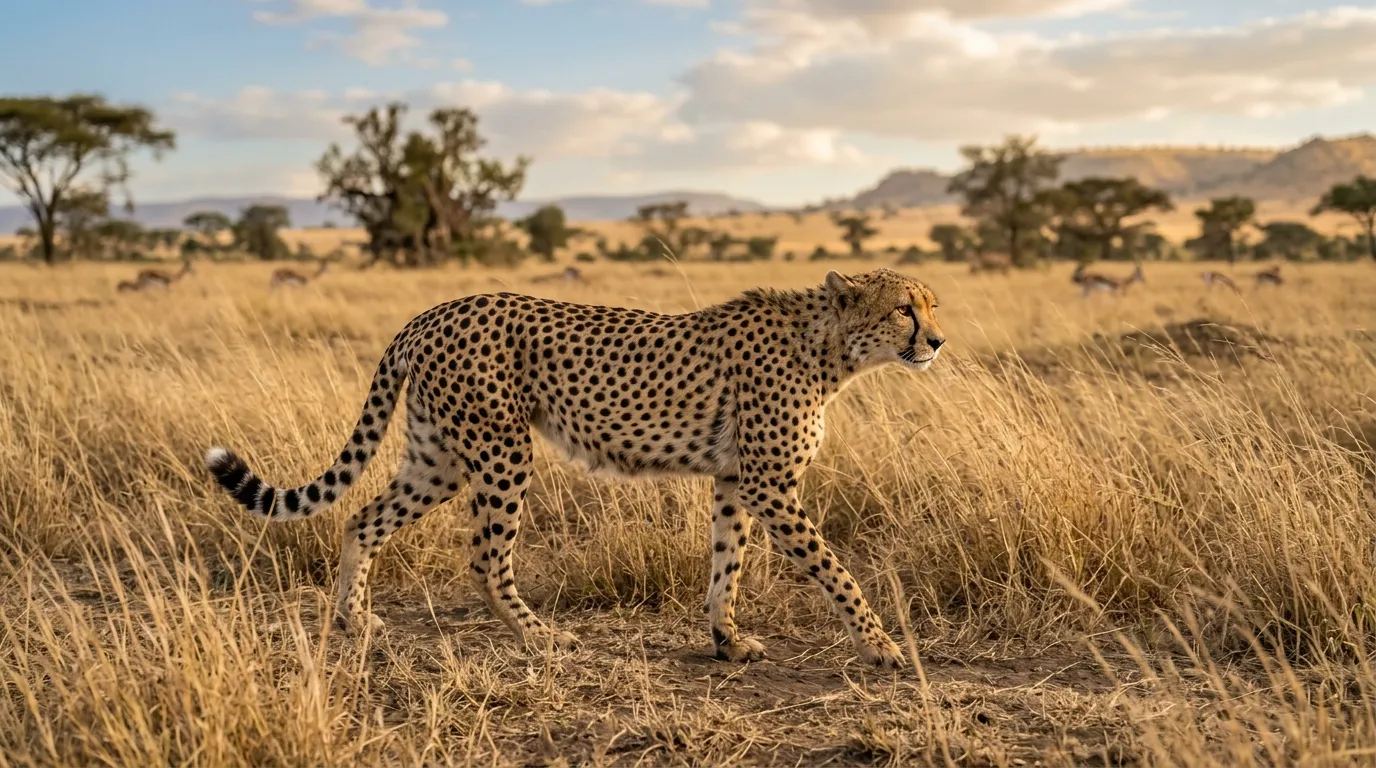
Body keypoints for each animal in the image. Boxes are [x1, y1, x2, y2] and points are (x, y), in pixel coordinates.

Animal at [205, 268, 945, 669]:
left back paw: (356, 623)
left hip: (438, 458)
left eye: (932, 305)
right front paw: (882, 646)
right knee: (485, 557)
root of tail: (434, 311)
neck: (830, 349)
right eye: (904, 309)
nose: (938, 341)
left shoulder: (736, 480)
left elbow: (726, 566)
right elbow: (835, 569)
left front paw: (726, 640)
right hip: (501, 450)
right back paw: (538, 635)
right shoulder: (769, 484)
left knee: (362, 519)